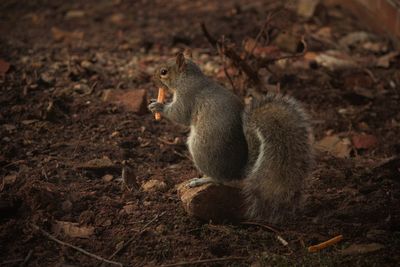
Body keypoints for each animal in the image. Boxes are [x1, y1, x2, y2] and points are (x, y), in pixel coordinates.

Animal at [148, 51, 314, 222]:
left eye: (163, 72)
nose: (152, 80)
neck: (187, 78)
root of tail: (236, 171)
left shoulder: (188, 96)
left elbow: (179, 114)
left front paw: (158, 106)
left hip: (200, 147)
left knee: (219, 179)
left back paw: (202, 179)